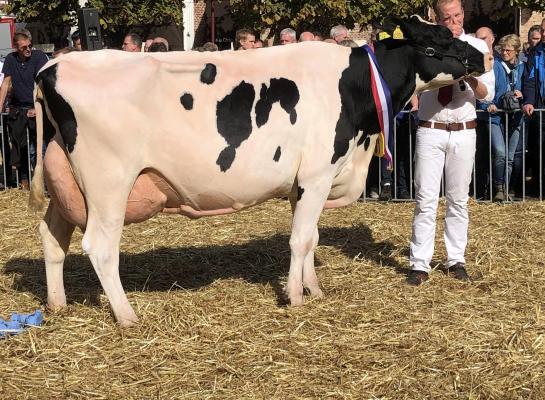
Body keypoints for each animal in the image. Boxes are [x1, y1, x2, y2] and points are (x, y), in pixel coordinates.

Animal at [28, 17, 488, 326]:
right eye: (439, 39)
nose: (481, 56)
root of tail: (51, 67)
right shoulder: (318, 174)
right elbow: (300, 240)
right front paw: (296, 297)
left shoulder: (303, 184)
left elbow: (311, 237)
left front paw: (313, 288)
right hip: (108, 183)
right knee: (99, 246)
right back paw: (127, 315)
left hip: (66, 182)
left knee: (52, 236)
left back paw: (57, 304)